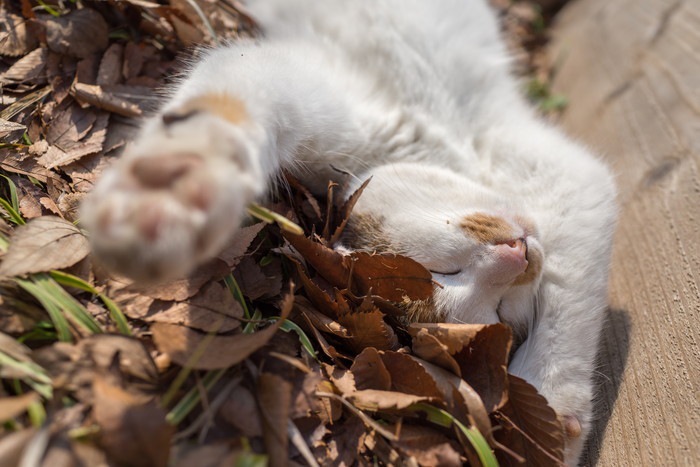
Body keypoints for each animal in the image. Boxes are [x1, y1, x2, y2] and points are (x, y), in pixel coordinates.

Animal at [83, 1, 616, 466]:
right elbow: (241, 89)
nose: (515, 257)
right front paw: (174, 183)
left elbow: (570, 290)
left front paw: (549, 416)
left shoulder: (573, 180)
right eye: (444, 271)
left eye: (502, 310)